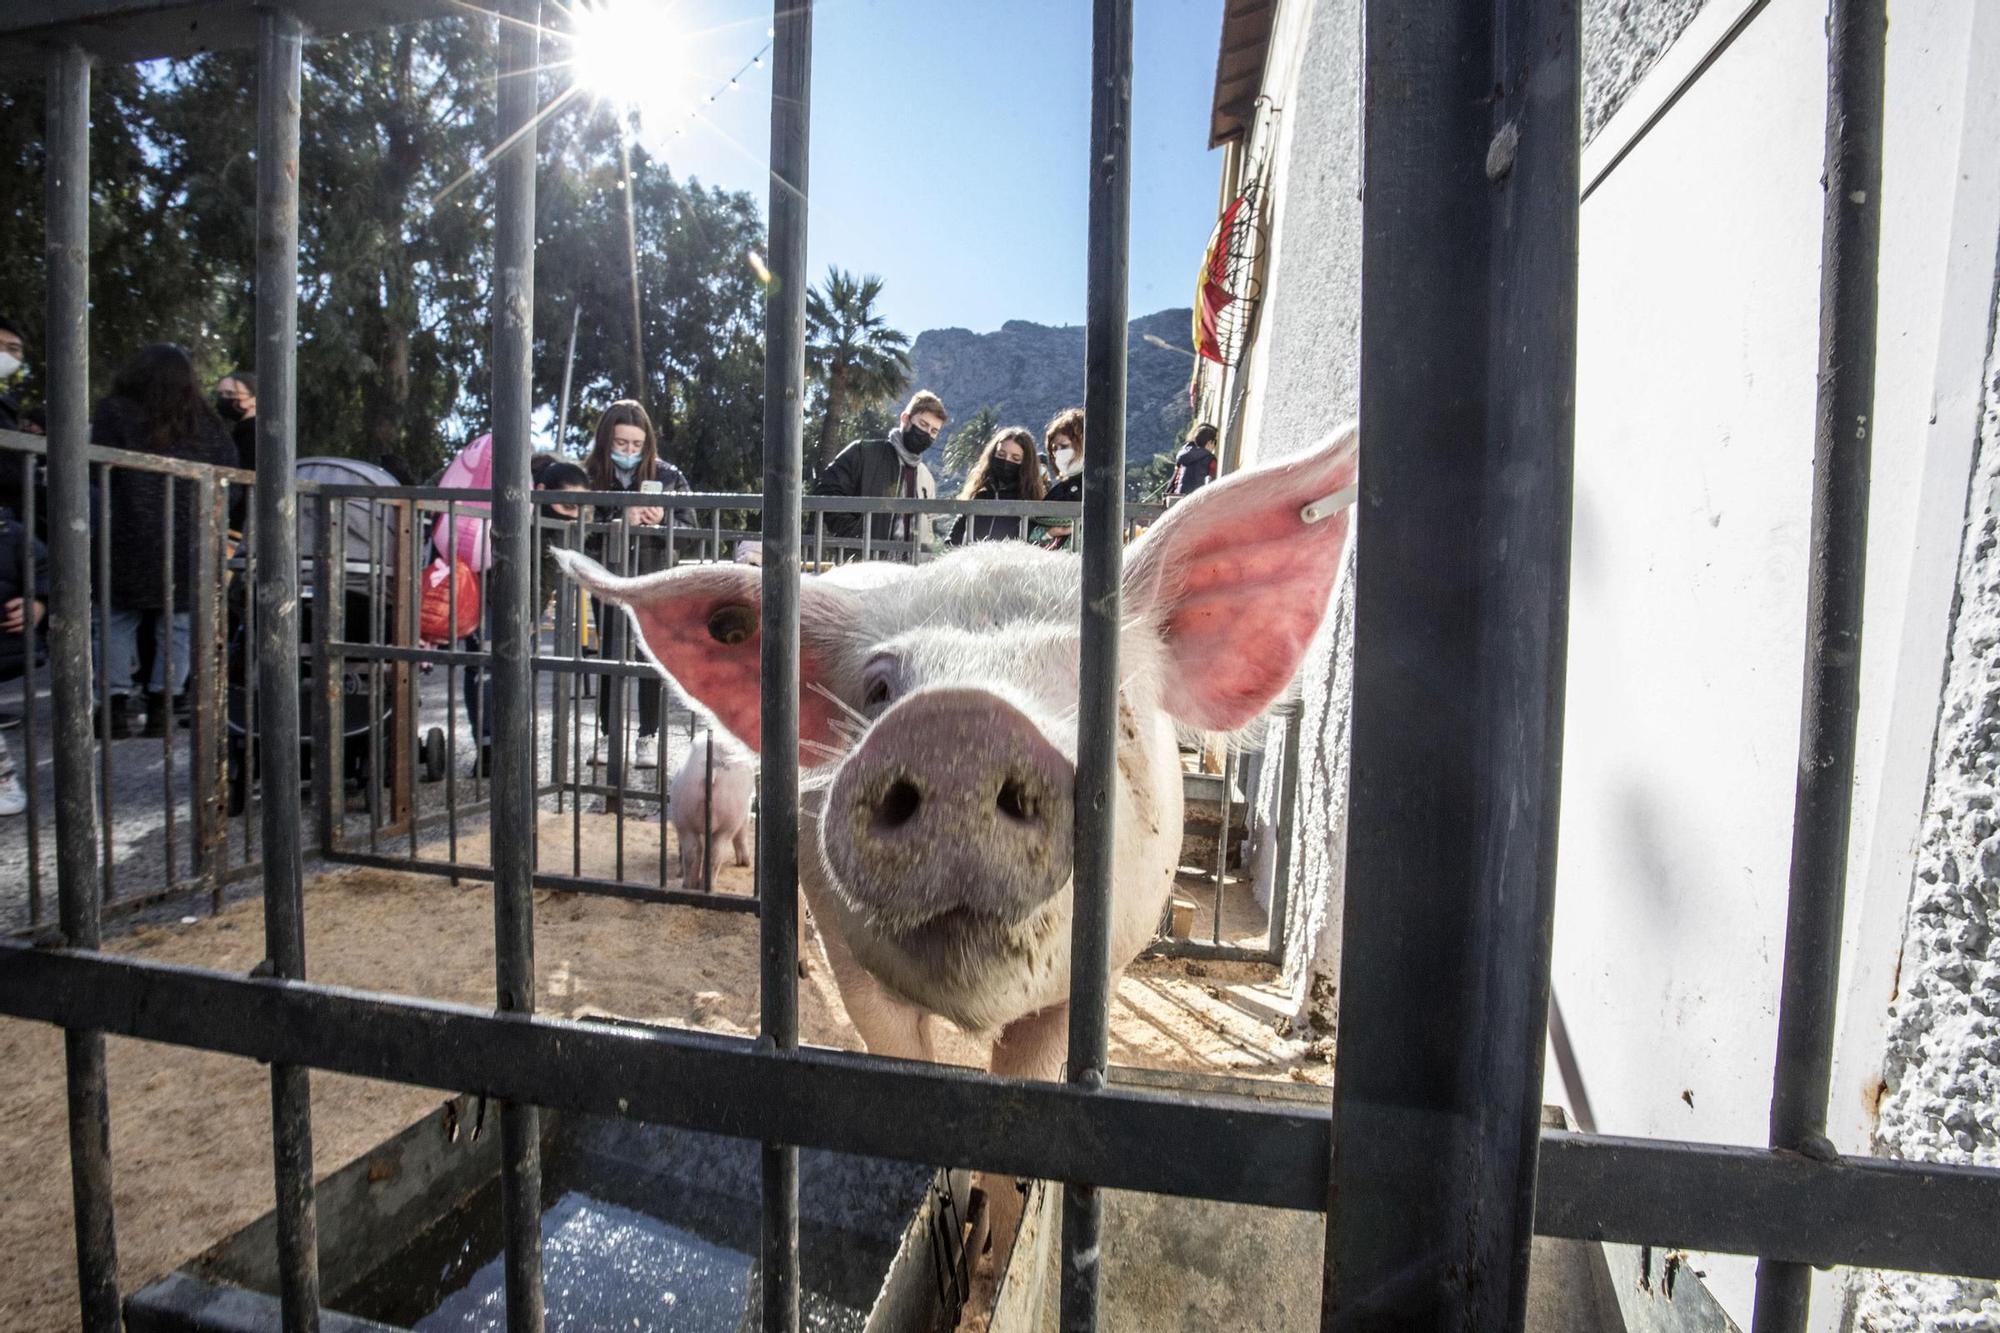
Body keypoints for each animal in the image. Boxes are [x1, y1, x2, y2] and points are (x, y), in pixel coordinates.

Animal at [676, 732, 760, 888]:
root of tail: (713, 771)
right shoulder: (744, 811)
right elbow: (742, 832)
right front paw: (745, 864)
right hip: (728, 819)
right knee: (715, 853)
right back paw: (710, 885)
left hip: (683, 813)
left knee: (693, 850)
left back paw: (689, 885)